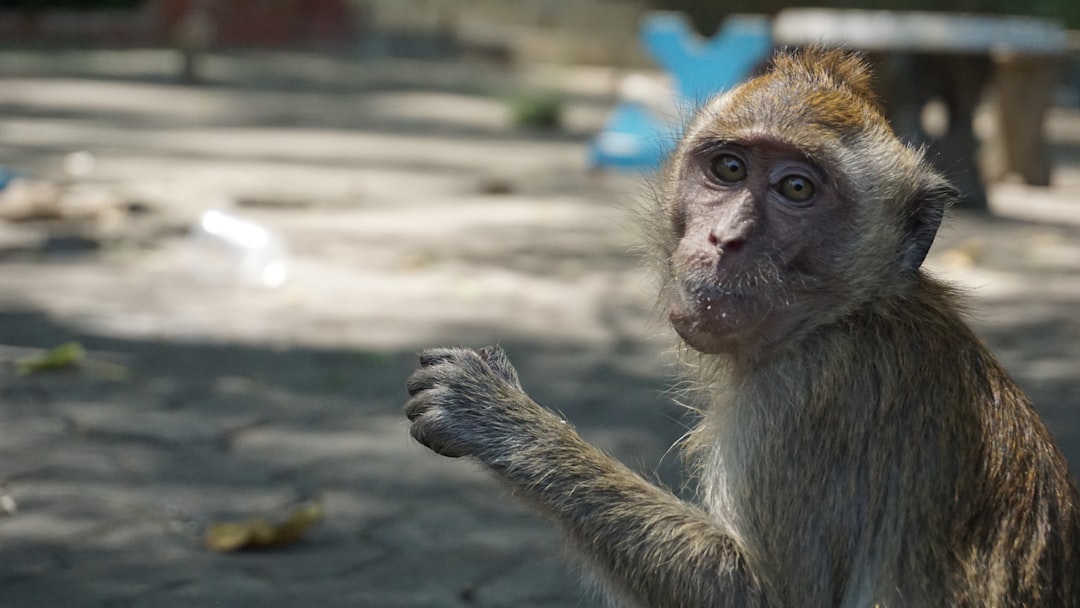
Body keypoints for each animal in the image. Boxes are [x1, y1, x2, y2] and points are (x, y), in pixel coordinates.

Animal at [404, 48, 1080, 607]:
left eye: (797, 188)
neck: (851, 314)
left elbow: (768, 595)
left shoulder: (803, 397)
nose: (725, 239)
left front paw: (500, 418)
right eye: (729, 169)